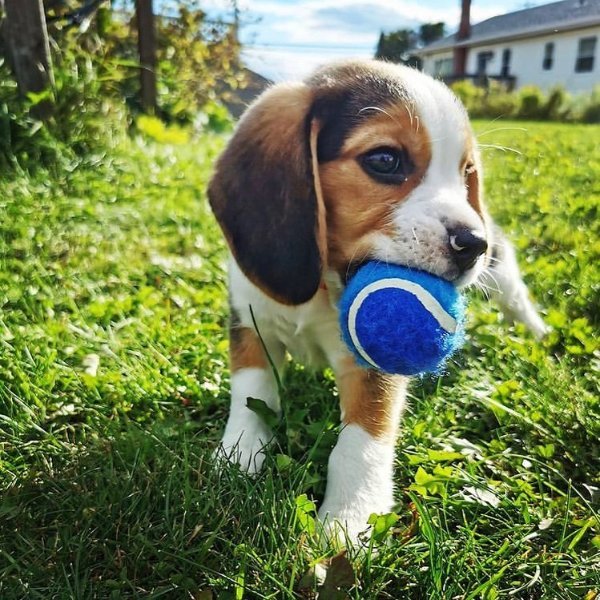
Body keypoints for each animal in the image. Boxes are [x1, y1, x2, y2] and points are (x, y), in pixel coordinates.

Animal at [207, 58, 548, 540]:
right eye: (385, 160)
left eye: (466, 173)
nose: (473, 244)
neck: (326, 284)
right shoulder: (250, 320)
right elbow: (252, 392)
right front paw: (239, 455)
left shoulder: (374, 360)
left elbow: (362, 438)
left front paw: (350, 518)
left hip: (499, 265)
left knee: (514, 291)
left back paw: (536, 331)